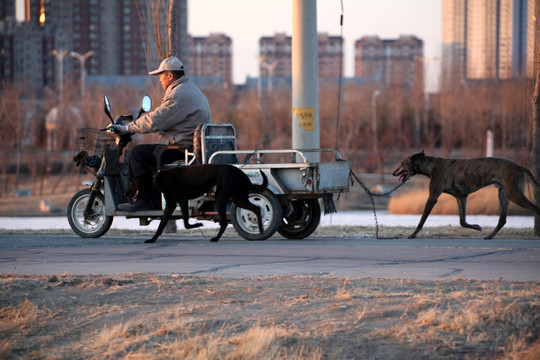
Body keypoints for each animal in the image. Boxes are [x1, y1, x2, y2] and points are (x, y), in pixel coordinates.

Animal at [392, 152, 540, 239]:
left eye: (401, 164)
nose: (394, 173)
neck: (432, 166)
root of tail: (519, 166)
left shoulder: (433, 197)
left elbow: (422, 219)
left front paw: (413, 234)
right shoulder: (461, 197)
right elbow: (462, 221)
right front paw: (476, 227)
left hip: (514, 194)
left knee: (536, 209)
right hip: (504, 194)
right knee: (502, 219)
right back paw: (489, 236)